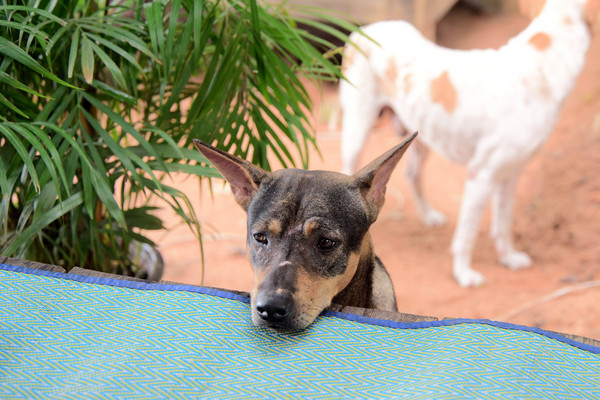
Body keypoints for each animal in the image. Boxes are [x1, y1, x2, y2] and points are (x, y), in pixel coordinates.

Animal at [340, 0, 596, 288]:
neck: (541, 65)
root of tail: (364, 29)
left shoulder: (510, 175)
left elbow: (502, 224)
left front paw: (508, 258)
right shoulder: (481, 176)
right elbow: (467, 235)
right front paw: (463, 273)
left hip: (421, 136)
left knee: (412, 174)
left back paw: (429, 216)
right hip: (357, 128)